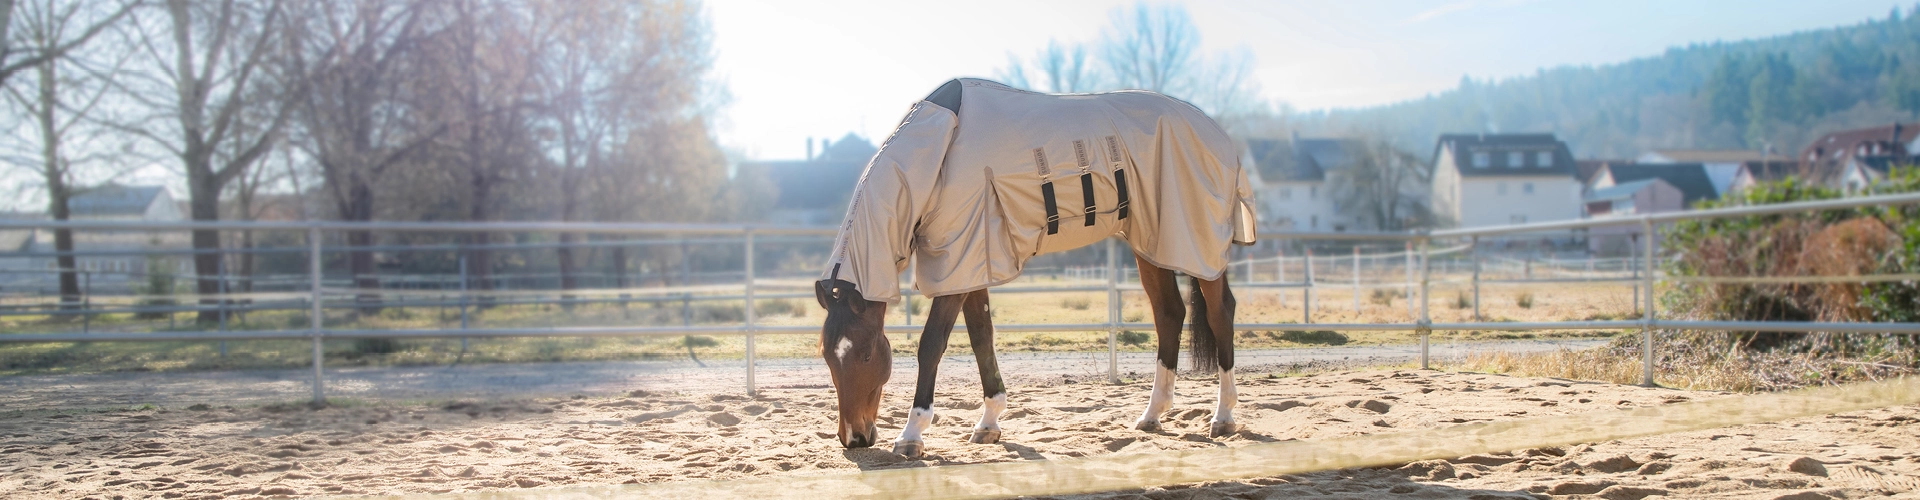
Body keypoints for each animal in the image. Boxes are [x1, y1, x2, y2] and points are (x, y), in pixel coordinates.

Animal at [814, 78, 1257, 458]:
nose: (854, 438)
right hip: (1153, 241)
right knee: (1169, 313)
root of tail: (1215, 132)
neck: (940, 151)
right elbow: (982, 338)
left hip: (1198, 244)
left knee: (1220, 313)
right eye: (827, 356)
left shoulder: (957, 261)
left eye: (867, 355)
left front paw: (911, 436)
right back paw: (1151, 416)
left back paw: (1223, 417)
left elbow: (931, 346)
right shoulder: (971, 261)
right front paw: (988, 424)